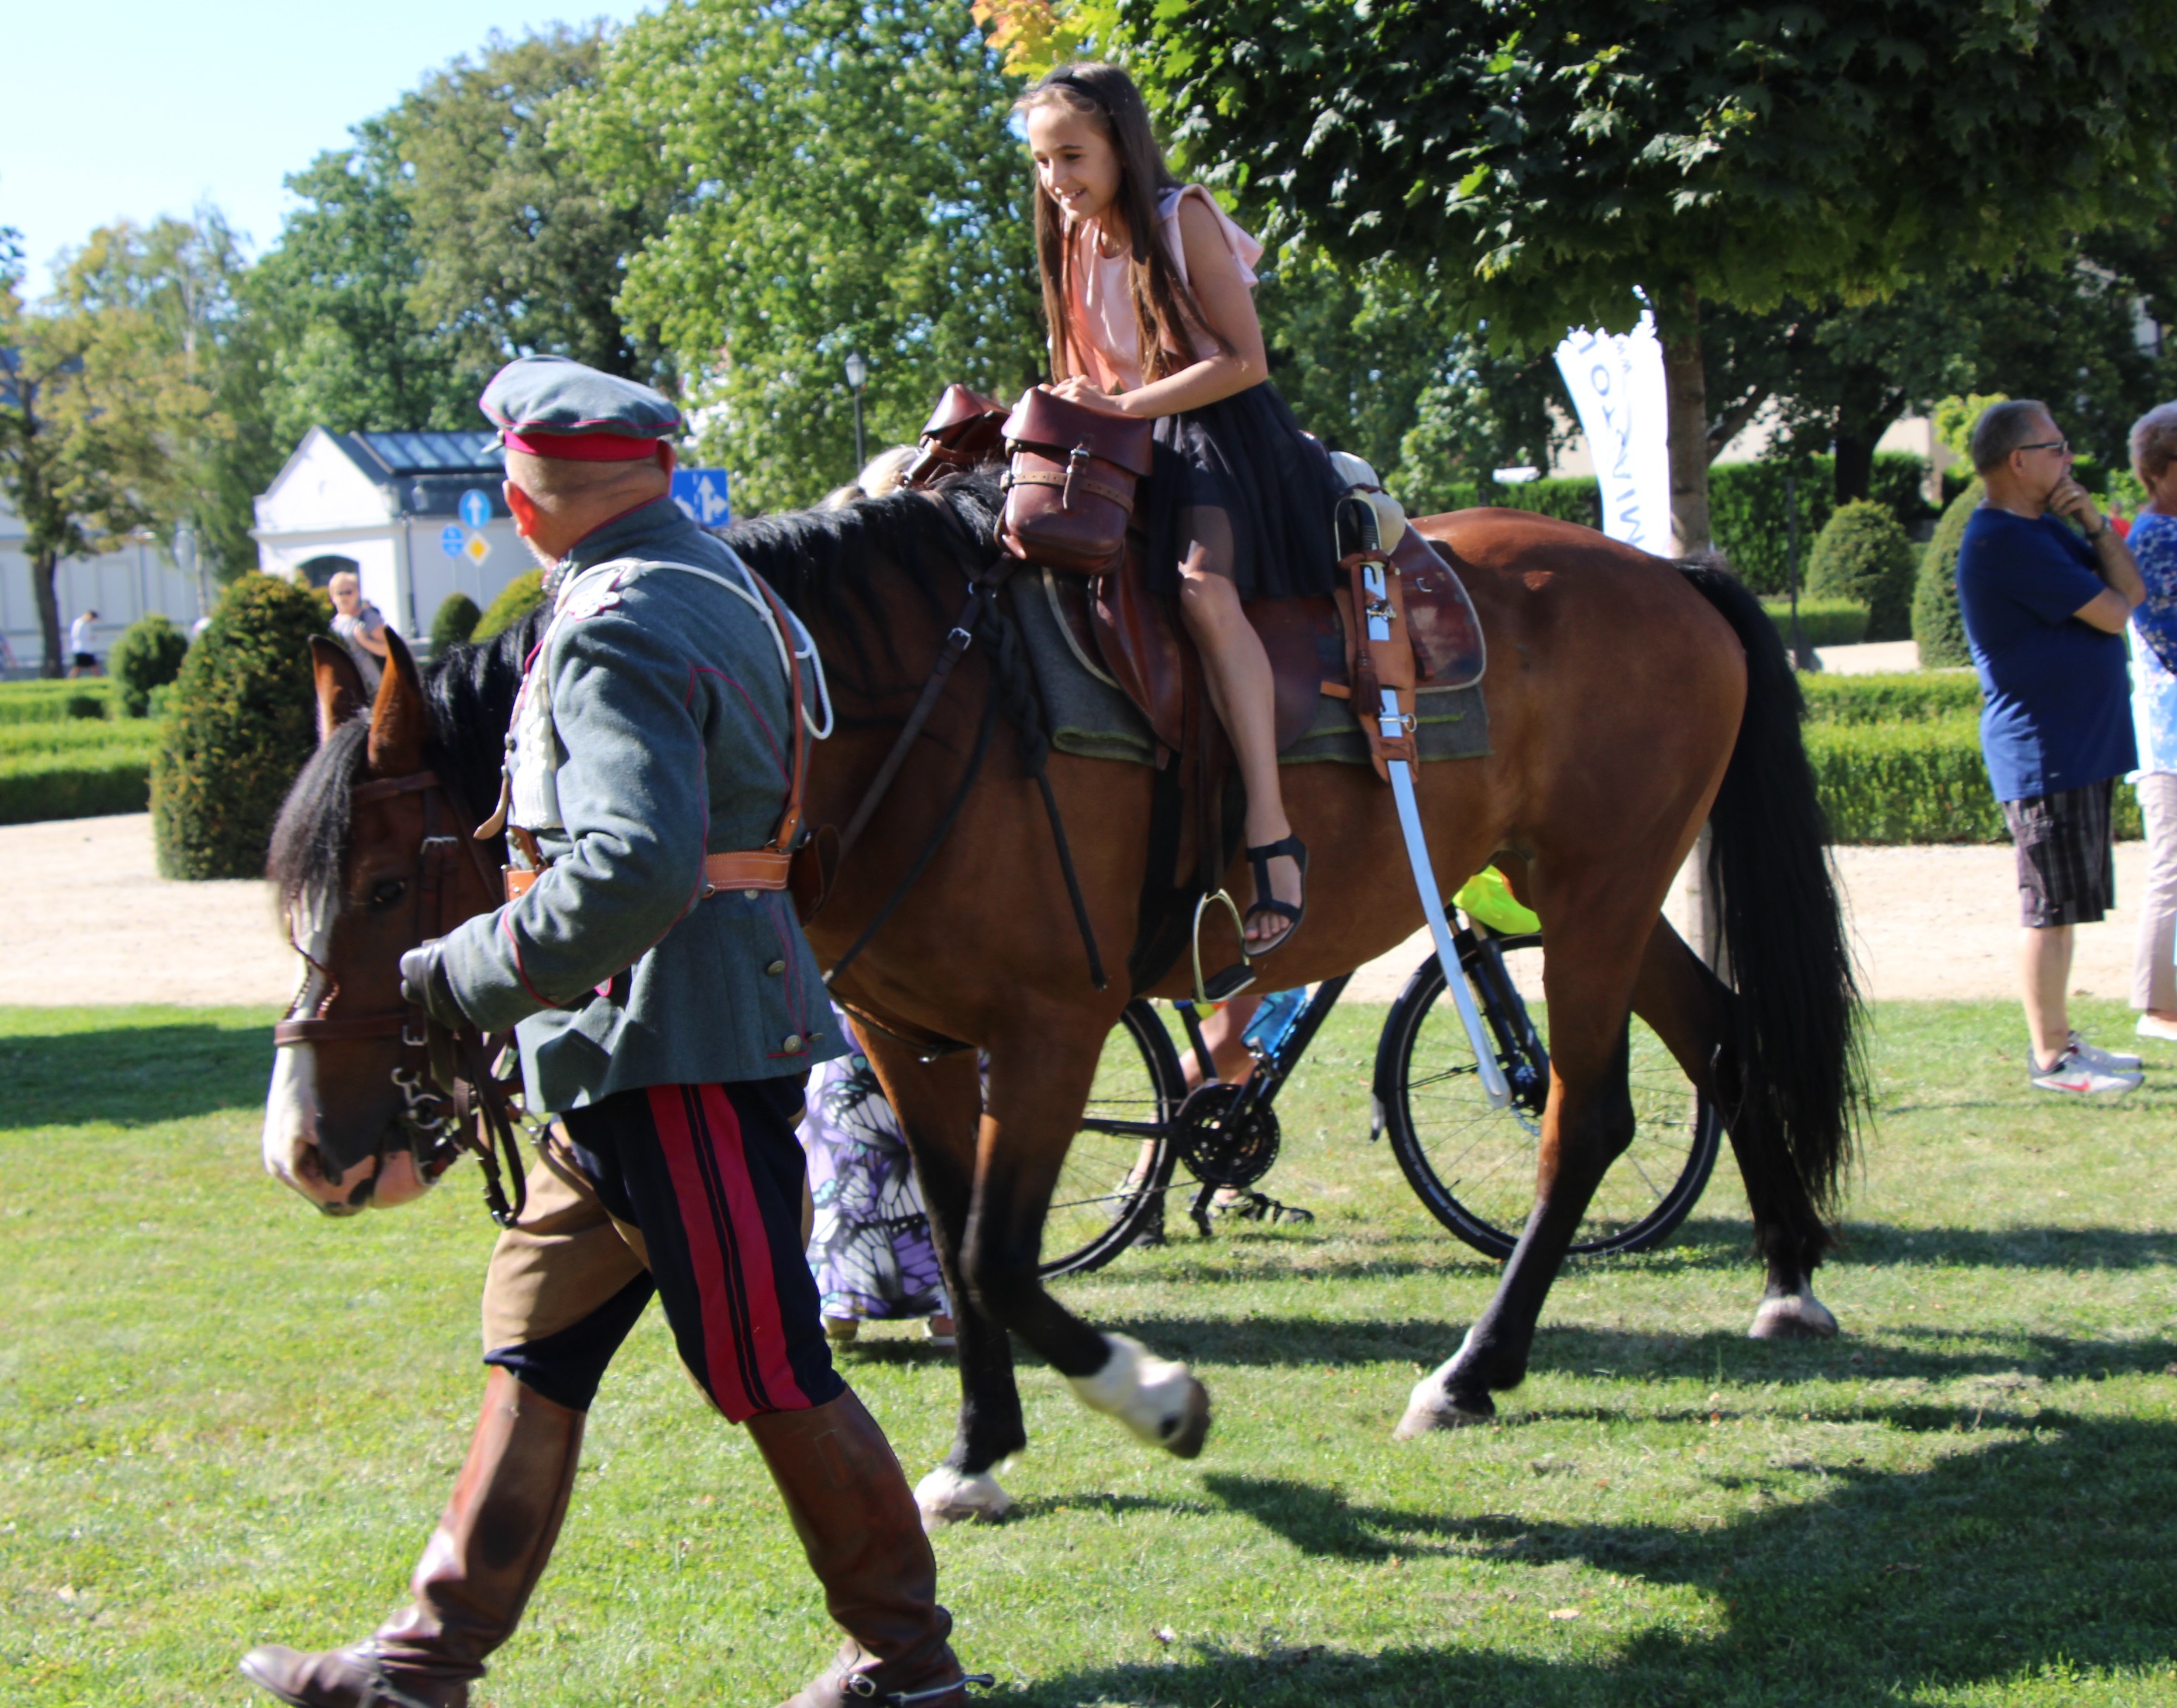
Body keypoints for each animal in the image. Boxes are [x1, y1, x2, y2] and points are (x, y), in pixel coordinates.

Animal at [255, 465, 1854, 1523]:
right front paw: (977, 1447)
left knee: (1579, 1119)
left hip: (1589, 898)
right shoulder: (907, 1034)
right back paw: (1783, 1275)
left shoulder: (1049, 1027)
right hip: (1589, 891)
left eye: (385, 885)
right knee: (1718, 1037)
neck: (897, 707)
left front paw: (1153, 1395)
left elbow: (1001, 1254)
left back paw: (1473, 1365)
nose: (308, 1145)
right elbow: (960, 1249)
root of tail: (1659, 568)